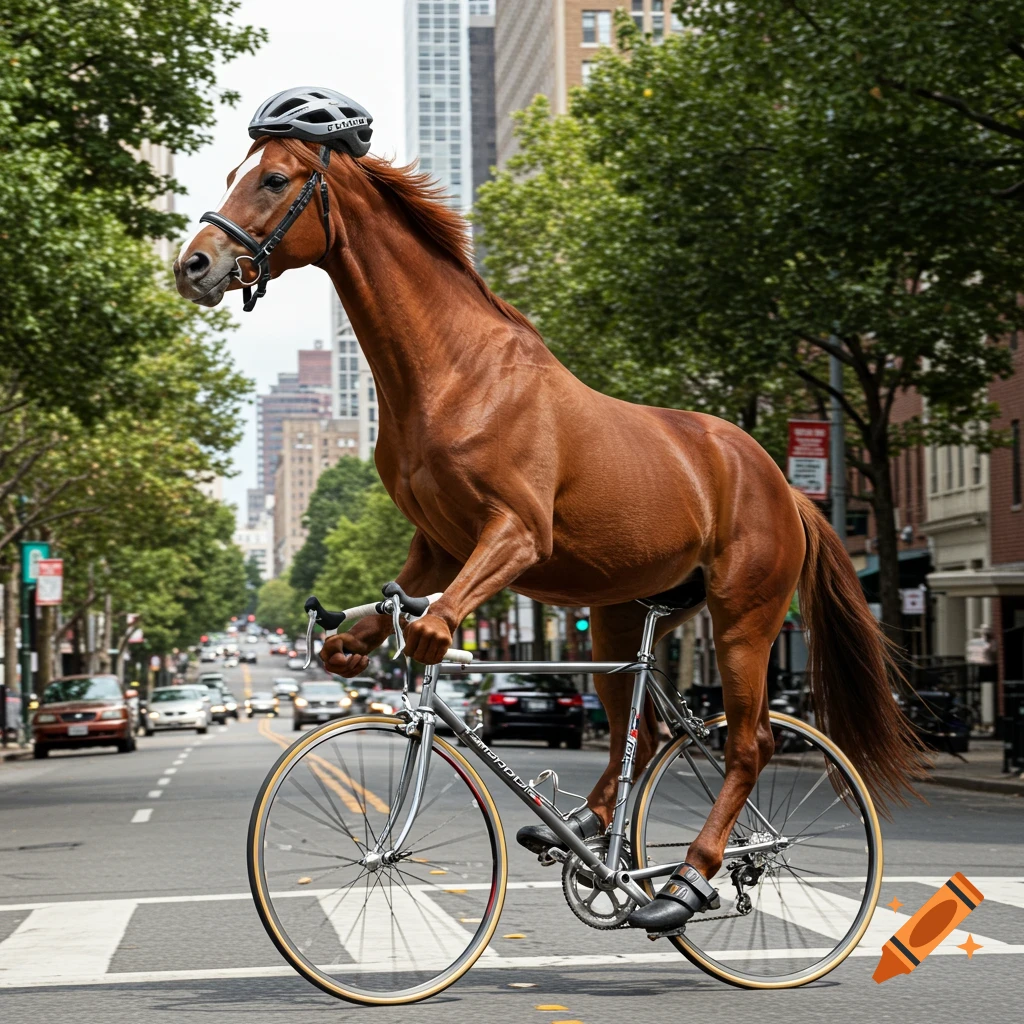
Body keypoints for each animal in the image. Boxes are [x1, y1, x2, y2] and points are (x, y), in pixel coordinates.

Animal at [174, 136, 921, 889]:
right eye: (235, 174)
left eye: (274, 179)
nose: (193, 263)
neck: (455, 374)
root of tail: (784, 487)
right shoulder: (439, 546)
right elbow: (402, 597)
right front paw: (351, 645)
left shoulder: (517, 533)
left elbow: (441, 618)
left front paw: (426, 642)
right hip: (625, 617)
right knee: (648, 726)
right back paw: (597, 843)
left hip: (744, 620)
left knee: (748, 742)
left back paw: (692, 876)